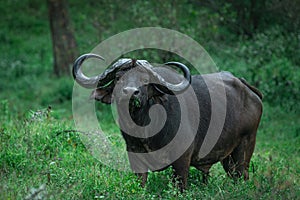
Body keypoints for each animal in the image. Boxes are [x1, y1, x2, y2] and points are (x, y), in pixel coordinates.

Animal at [72, 53, 262, 191]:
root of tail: (248, 89)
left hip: (245, 147)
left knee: (242, 176)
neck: (145, 128)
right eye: (119, 77)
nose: (130, 92)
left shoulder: (182, 160)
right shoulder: (134, 154)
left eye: (145, 80)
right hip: (227, 157)